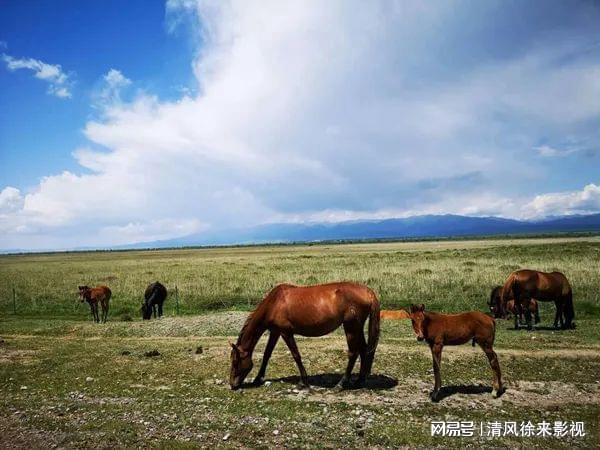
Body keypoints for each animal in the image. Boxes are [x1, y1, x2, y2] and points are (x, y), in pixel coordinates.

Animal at [230, 284, 380, 388]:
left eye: (235, 361)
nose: (232, 384)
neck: (274, 303)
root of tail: (368, 292)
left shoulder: (285, 332)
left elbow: (296, 355)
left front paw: (303, 381)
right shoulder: (275, 332)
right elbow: (267, 354)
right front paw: (258, 378)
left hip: (351, 327)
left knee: (353, 353)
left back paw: (341, 383)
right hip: (357, 328)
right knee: (364, 349)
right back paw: (360, 381)